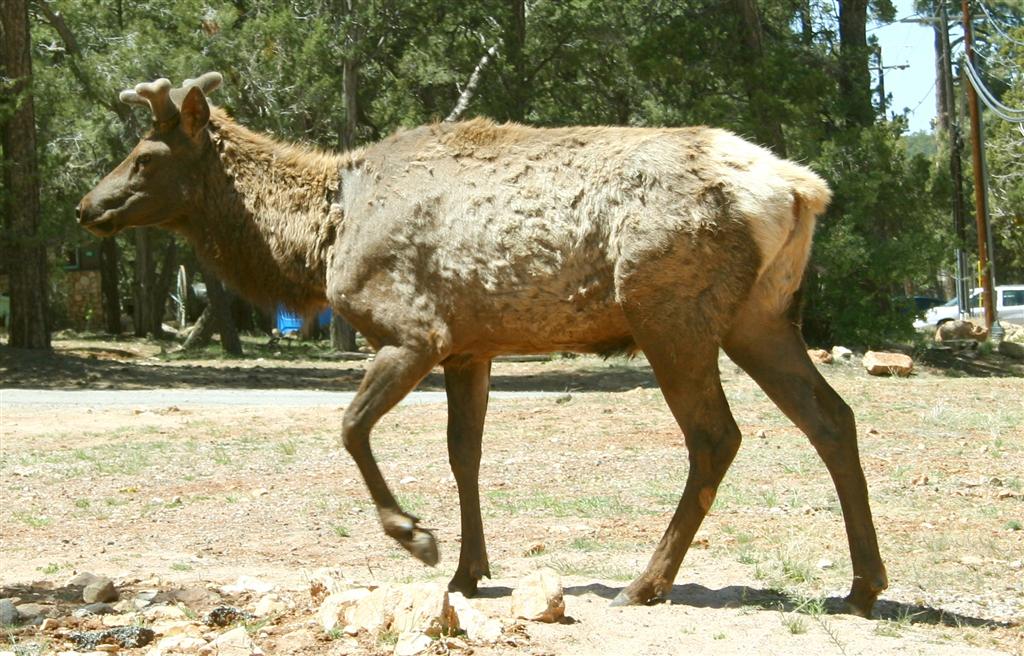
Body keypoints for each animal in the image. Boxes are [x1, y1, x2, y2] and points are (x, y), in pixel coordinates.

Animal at [77, 74, 888, 618]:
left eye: (144, 156)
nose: (88, 207)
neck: (317, 241)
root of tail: (800, 190)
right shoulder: (471, 347)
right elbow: (463, 452)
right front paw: (468, 570)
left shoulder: (415, 331)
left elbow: (351, 428)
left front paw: (416, 537)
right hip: (761, 317)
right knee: (833, 418)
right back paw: (862, 585)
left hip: (670, 311)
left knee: (717, 436)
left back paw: (645, 582)